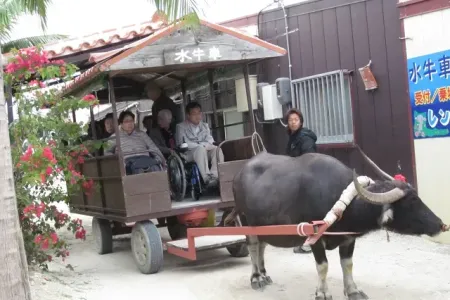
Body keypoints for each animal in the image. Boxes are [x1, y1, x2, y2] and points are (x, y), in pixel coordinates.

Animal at [227, 150, 448, 300]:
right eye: (411, 203)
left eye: (417, 197)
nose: (441, 224)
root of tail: (239, 173)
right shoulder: (314, 238)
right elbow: (323, 265)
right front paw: (322, 292)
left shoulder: (348, 239)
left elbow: (347, 264)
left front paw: (353, 290)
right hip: (247, 222)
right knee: (253, 246)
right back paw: (256, 278)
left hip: (264, 224)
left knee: (262, 246)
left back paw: (265, 275)